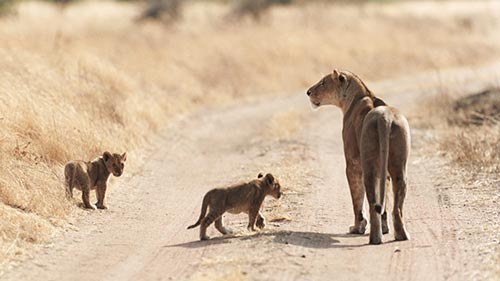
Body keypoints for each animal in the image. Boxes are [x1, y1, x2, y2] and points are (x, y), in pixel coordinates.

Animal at [308, 69, 410, 244]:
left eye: (322, 82)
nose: (307, 92)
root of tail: (385, 118)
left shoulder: (352, 163)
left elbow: (357, 199)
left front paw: (357, 228)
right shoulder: (385, 174)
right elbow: (385, 200)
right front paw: (385, 228)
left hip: (369, 166)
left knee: (372, 204)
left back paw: (375, 238)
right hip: (399, 167)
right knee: (396, 206)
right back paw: (401, 236)